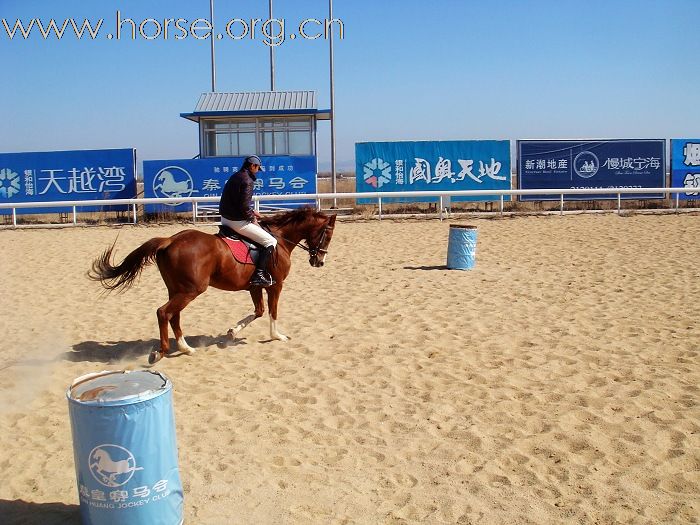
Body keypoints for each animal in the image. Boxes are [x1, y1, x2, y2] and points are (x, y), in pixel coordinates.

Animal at [88, 207, 336, 362]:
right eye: (328, 236)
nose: (319, 261)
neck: (280, 239)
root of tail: (170, 240)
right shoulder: (275, 286)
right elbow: (272, 312)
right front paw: (277, 336)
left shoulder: (255, 286)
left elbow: (258, 311)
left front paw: (232, 332)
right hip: (191, 290)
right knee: (163, 312)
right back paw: (161, 352)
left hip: (177, 289)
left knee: (173, 315)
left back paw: (185, 348)